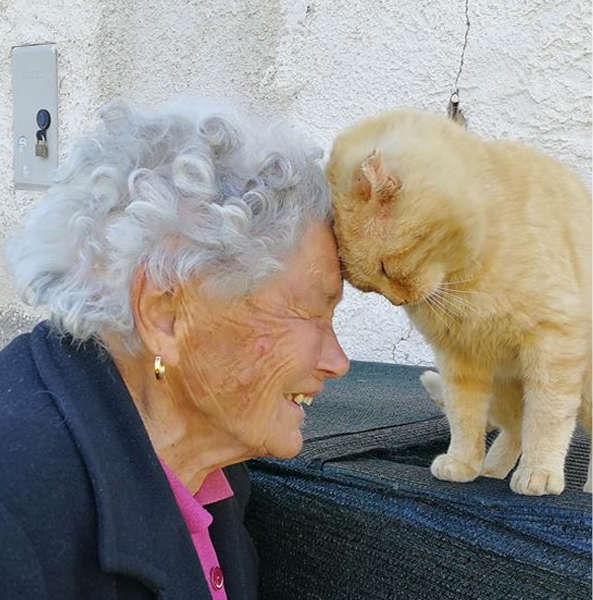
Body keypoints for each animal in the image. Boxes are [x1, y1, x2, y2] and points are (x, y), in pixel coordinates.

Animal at [326, 109, 588, 496]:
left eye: (385, 267)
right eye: (369, 287)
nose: (397, 301)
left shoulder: (554, 344)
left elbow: (547, 415)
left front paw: (539, 471)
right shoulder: (460, 358)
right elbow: (465, 416)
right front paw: (463, 462)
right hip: (505, 389)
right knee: (513, 430)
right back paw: (493, 468)